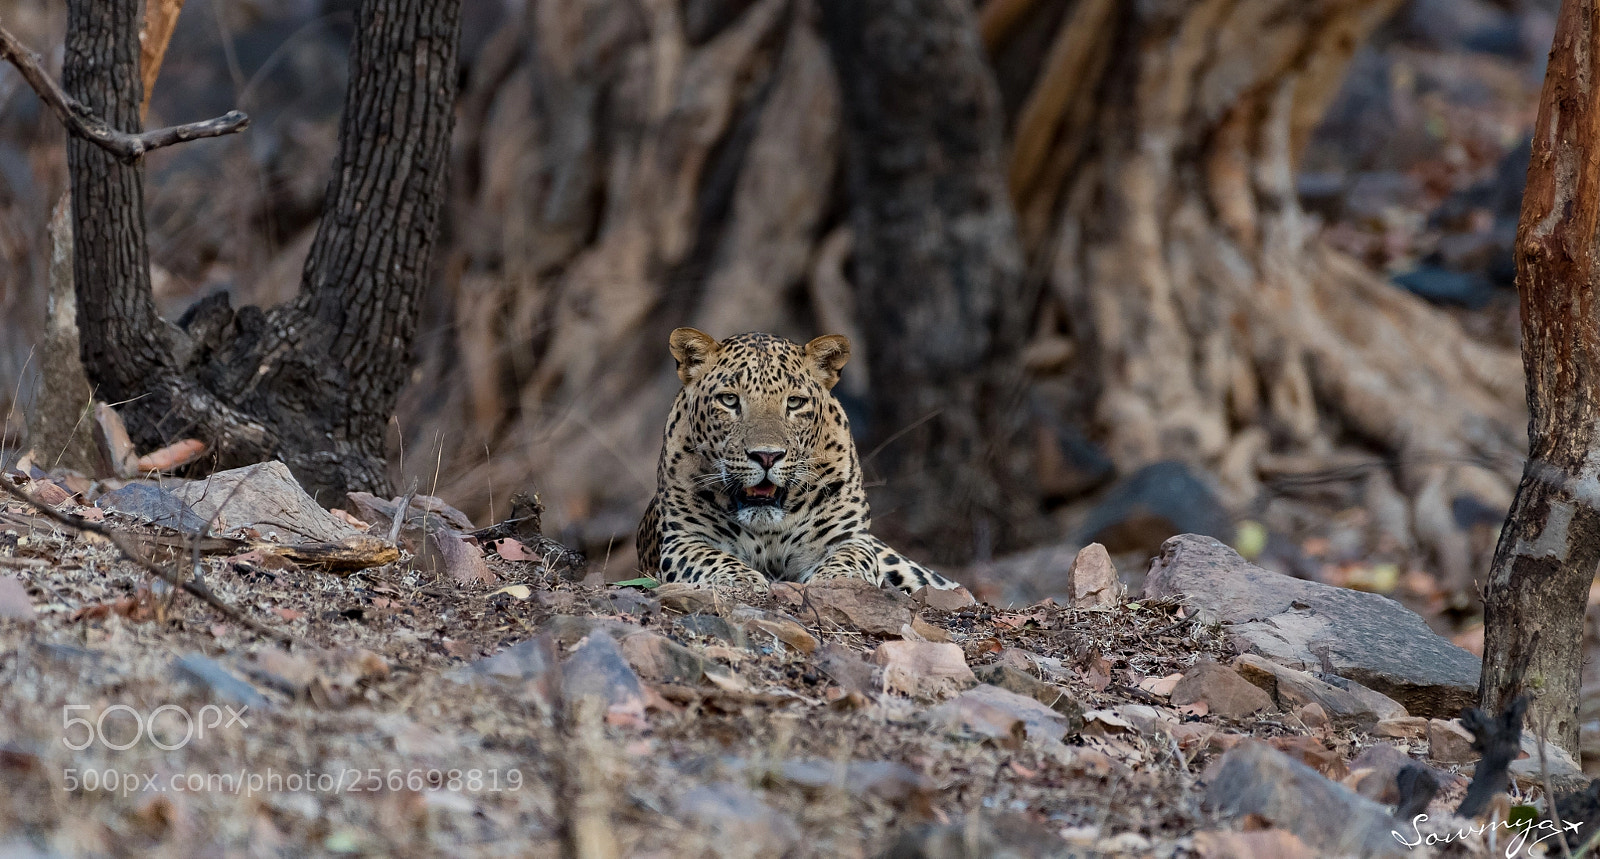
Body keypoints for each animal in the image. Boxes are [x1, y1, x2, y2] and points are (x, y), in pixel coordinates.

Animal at [635, 328, 961, 594]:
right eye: (729, 400)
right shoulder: (684, 538)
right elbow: (713, 558)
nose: (767, 456)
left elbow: (849, 560)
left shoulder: (849, 538)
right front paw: (740, 579)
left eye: (794, 402)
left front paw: (836, 581)